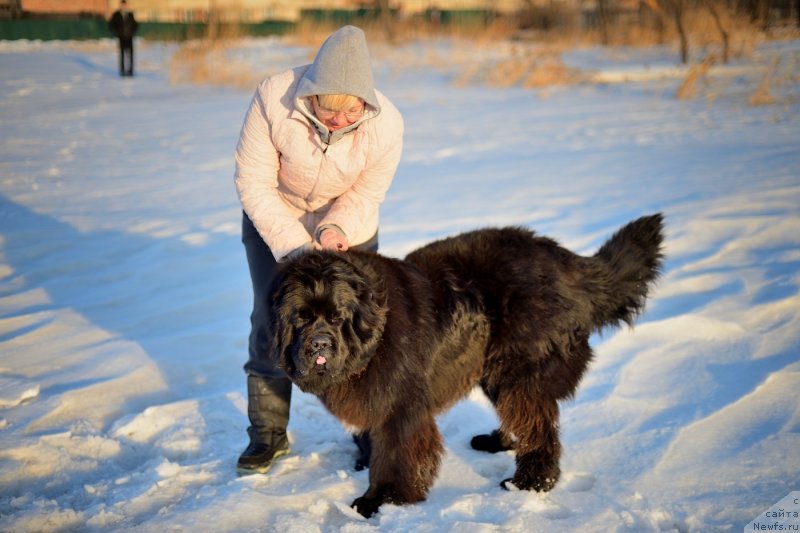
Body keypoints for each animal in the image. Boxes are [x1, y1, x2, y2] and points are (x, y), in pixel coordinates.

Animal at [268, 214, 664, 516]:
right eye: (301, 318)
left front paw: (380, 500)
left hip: (519, 369)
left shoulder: (401, 409)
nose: (319, 343)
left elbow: (394, 457)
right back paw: (497, 442)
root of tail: (567, 262)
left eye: (337, 317)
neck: (372, 340)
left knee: (538, 425)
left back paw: (530, 482)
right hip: (494, 369)